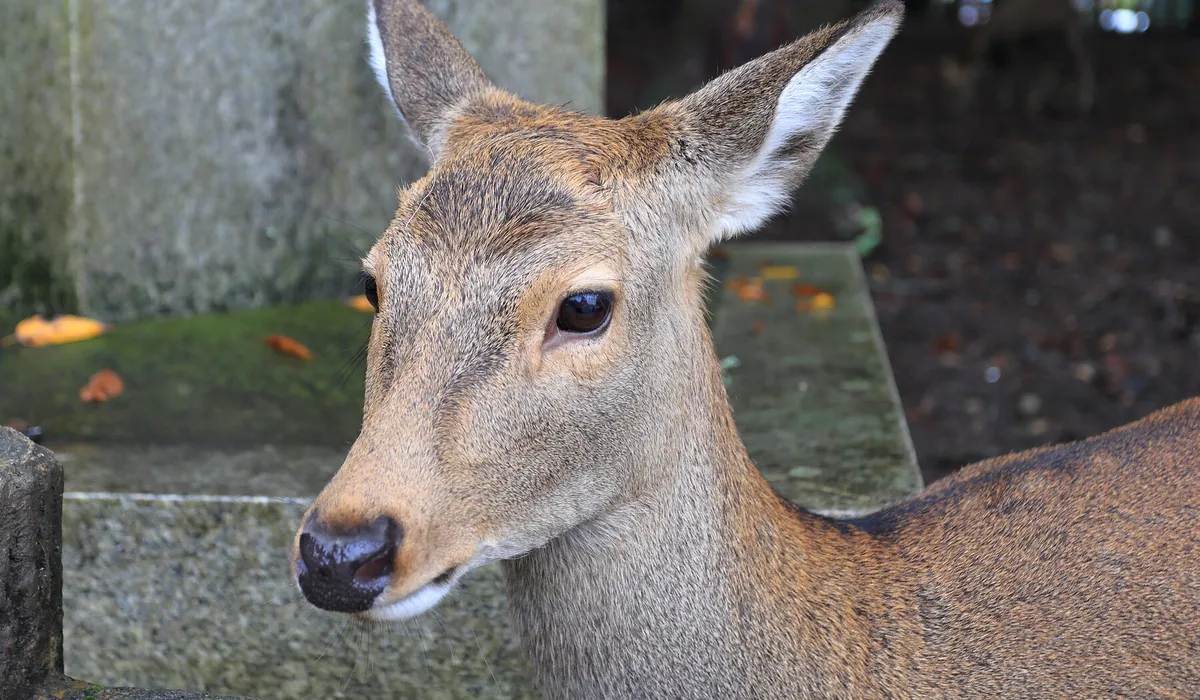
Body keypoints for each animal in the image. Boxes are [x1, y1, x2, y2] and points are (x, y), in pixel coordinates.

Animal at [940, 0, 1096, 116]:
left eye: (964, 84)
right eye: (952, 84)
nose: (956, 107)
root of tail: (1072, 11)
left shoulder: (1013, 45)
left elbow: (1009, 72)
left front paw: (1005, 102)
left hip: (1062, 38)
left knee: (1076, 64)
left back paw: (1084, 104)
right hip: (1058, 40)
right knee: (1058, 67)